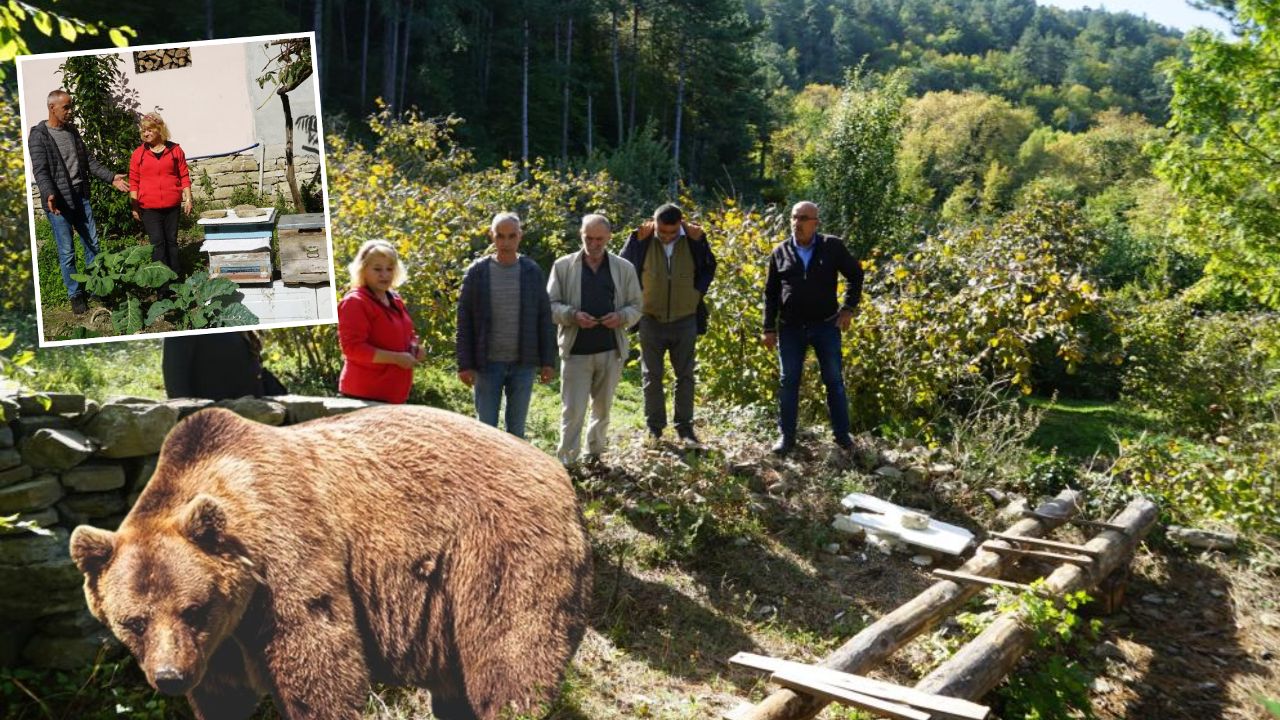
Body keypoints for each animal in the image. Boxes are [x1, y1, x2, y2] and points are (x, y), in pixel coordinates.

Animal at [68, 407, 588, 712]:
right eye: (133, 621)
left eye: (194, 608)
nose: (170, 678)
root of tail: (557, 470)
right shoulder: (216, 648)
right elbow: (220, 695)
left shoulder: (288, 565)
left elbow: (319, 672)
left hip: (501, 556)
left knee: (510, 662)